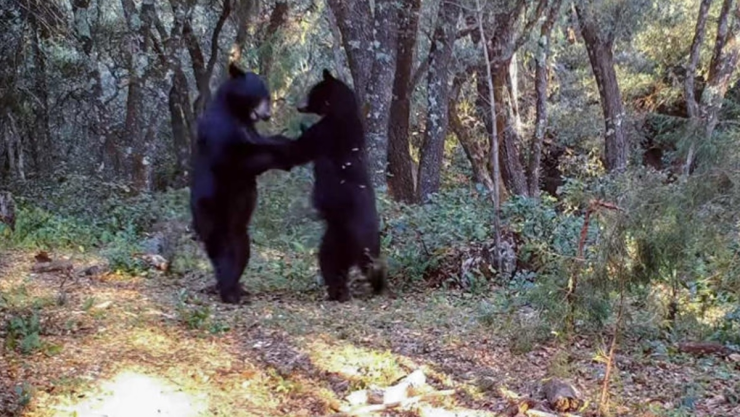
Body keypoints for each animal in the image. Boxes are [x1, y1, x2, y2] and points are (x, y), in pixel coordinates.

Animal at [190, 63, 293, 304]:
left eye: (268, 96)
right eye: (261, 95)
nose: (268, 114)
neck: (236, 111)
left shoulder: (249, 128)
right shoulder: (221, 130)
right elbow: (241, 160)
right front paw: (284, 147)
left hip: (237, 225)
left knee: (241, 248)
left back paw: (237, 287)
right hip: (211, 210)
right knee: (221, 249)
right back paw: (229, 291)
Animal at [288, 69, 387, 302]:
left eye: (312, 92)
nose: (298, 106)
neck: (342, 111)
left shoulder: (328, 131)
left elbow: (300, 148)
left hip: (353, 236)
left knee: (358, 264)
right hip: (334, 239)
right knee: (330, 263)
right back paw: (340, 291)